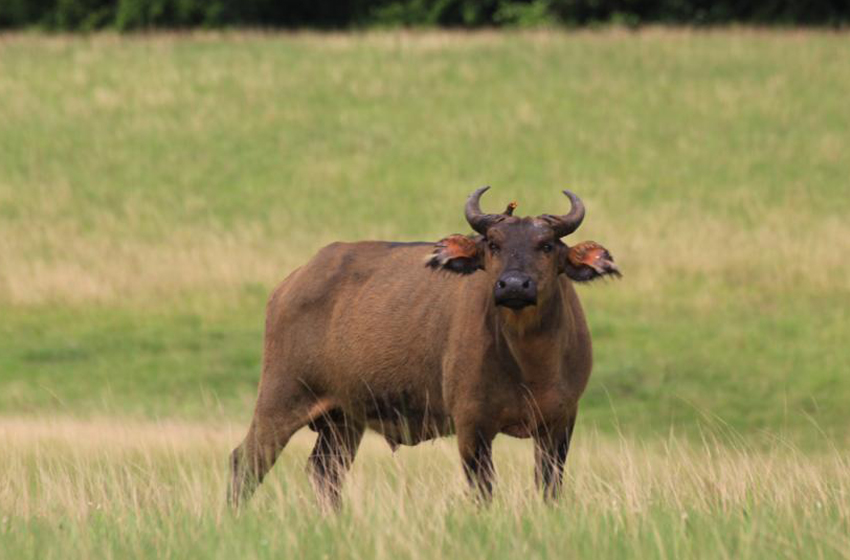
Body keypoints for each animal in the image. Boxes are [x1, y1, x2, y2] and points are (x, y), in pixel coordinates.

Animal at [229, 187, 620, 508]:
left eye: (547, 245)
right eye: (494, 244)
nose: (513, 285)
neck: (529, 364)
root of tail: (290, 284)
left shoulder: (560, 423)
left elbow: (549, 488)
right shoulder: (472, 425)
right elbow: (483, 491)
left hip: (344, 420)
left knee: (325, 473)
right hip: (281, 397)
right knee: (245, 461)